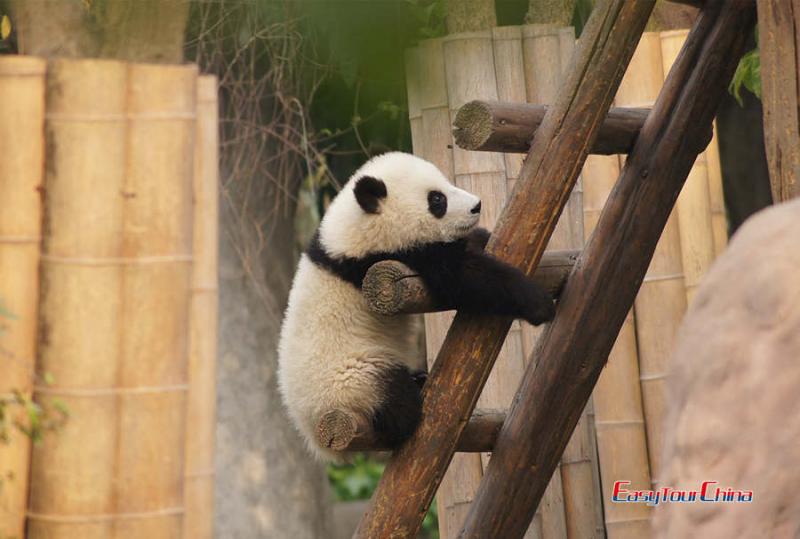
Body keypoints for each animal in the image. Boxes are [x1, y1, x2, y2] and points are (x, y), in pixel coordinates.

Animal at [277, 152, 555, 461]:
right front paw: (538, 302)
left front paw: (482, 236)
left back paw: (420, 378)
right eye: (437, 200)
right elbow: (461, 278)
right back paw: (409, 406)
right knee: (393, 400)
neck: (356, 226)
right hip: (352, 380)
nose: (477, 205)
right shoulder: (381, 258)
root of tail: (313, 432)